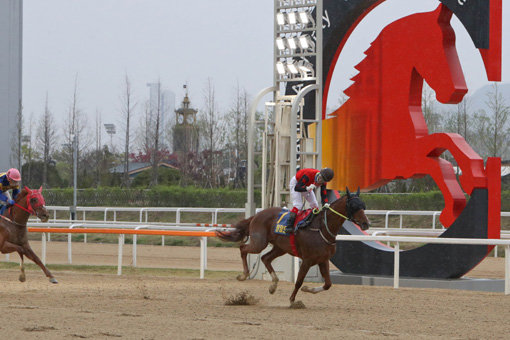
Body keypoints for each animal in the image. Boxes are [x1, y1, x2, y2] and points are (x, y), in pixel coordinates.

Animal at [217, 189, 368, 306]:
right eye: (354, 206)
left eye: (363, 205)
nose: (366, 223)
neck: (322, 228)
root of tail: (256, 215)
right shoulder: (307, 260)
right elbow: (299, 281)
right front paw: (293, 301)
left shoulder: (323, 260)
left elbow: (328, 284)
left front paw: (307, 289)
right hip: (259, 243)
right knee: (243, 248)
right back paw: (244, 275)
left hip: (280, 248)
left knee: (265, 258)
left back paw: (273, 285)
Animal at [322, 3, 486, 227]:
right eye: (435, 45)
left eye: (452, 44)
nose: (456, 92)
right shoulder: (407, 162)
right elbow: (438, 163)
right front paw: (450, 210)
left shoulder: (416, 149)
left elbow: (447, 141)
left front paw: (473, 177)